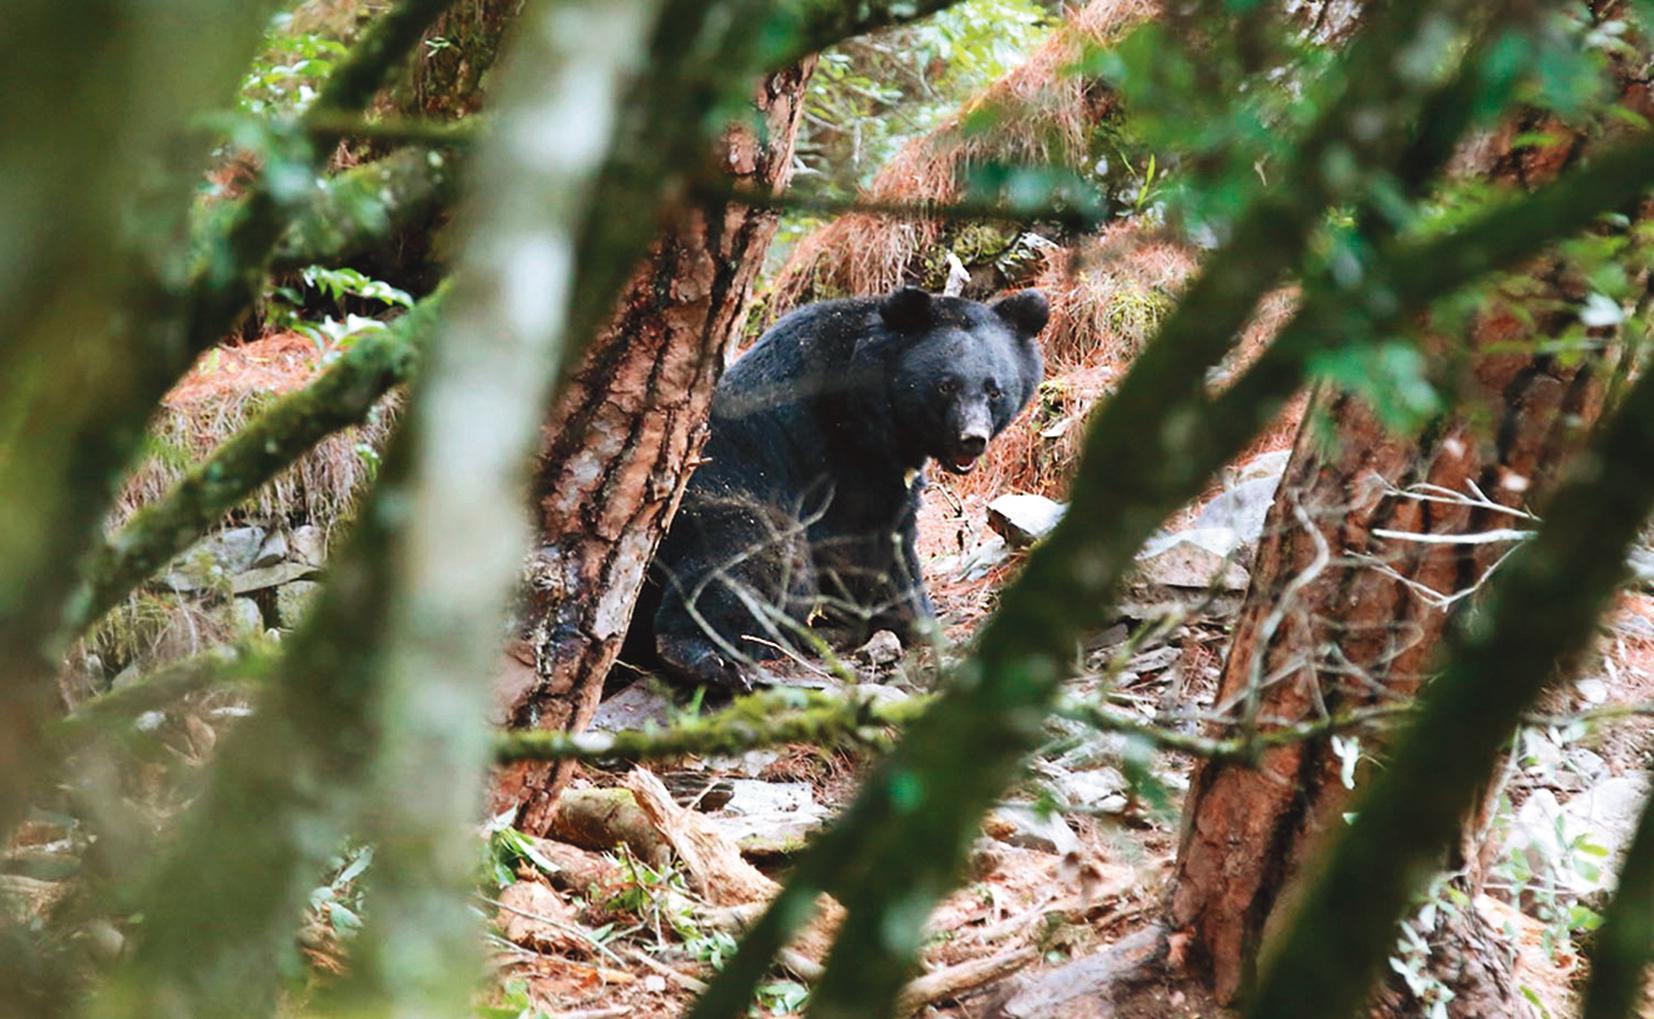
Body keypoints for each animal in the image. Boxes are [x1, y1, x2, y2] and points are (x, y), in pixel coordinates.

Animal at [632, 285, 1048, 690]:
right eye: (946, 385)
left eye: (995, 391)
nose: (972, 439)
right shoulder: (837, 455)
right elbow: (859, 543)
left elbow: (888, 541)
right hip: (714, 504)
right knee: (749, 558)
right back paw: (707, 658)